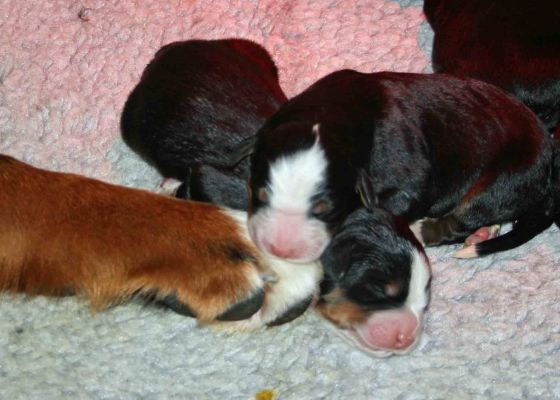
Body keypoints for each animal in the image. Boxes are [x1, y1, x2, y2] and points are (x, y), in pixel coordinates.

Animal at [236, 70, 556, 260]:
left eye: (325, 210)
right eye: (259, 194)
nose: (279, 249)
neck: (330, 113)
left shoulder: (410, 177)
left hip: (506, 178)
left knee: (463, 218)